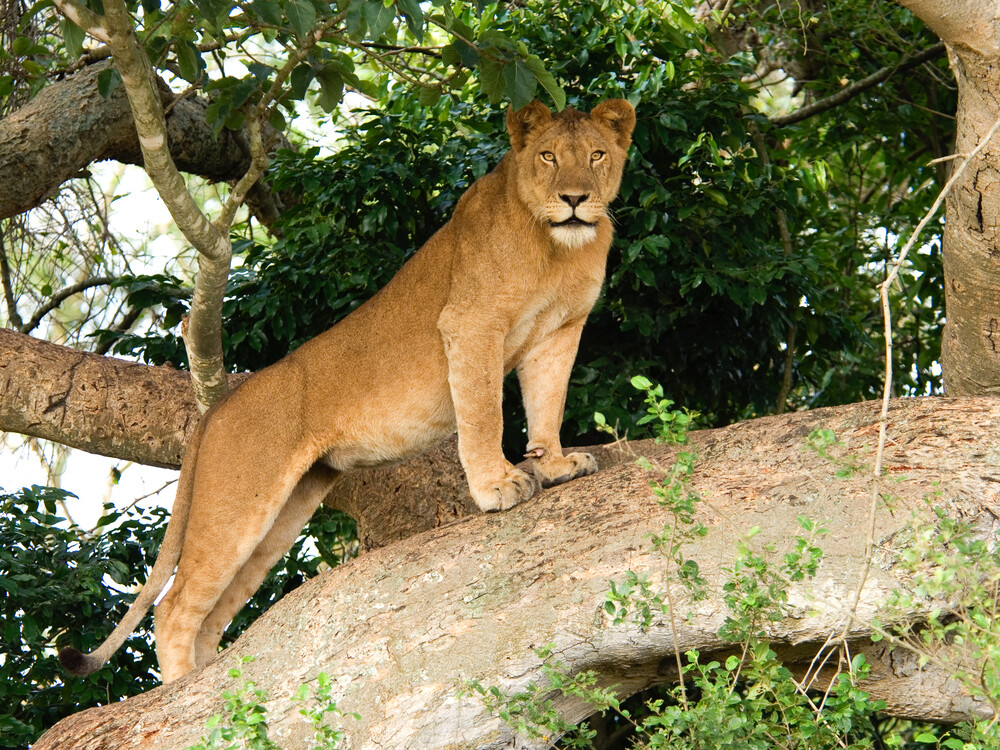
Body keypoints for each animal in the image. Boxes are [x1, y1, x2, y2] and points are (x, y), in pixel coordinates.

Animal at [59, 97, 636, 683]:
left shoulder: (561, 331)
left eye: (596, 155)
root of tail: (217, 409)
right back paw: (186, 693)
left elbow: (548, 403)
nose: (574, 199)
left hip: (284, 512)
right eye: (548, 156)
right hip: (236, 506)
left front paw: (556, 465)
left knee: (212, 615)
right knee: (175, 608)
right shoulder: (470, 324)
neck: (557, 248)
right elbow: (483, 413)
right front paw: (497, 486)